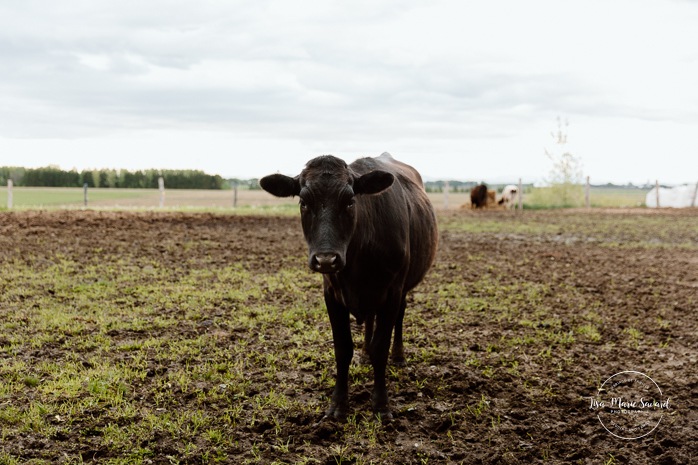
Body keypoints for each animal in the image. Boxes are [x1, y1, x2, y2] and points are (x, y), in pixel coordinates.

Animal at [260, 153, 438, 420]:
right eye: (303, 202)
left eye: (350, 201)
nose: (326, 259)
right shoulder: (332, 295)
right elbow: (343, 349)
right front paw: (338, 403)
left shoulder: (392, 292)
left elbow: (380, 348)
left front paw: (381, 404)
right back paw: (363, 355)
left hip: (402, 289)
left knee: (399, 317)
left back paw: (398, 356)